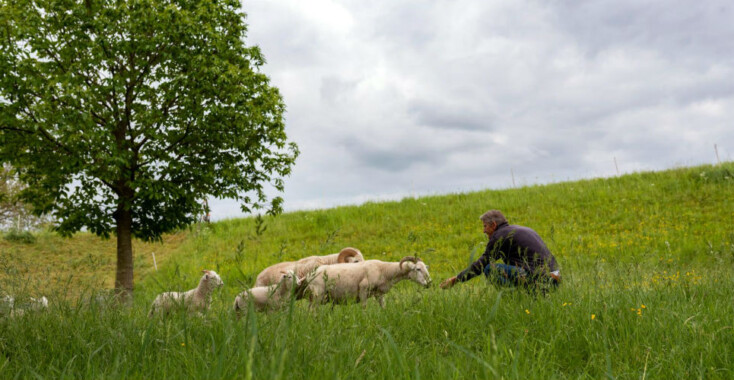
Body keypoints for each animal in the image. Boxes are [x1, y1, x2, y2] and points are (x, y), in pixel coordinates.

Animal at [304, 255, 432, 308]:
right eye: (418, 269)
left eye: (426, 268)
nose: (429, 283)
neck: (384, 270)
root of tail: (311, 274)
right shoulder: (363, 289)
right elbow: (364, 307)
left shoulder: (379, 294)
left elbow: (383, 307)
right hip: (318, 294)